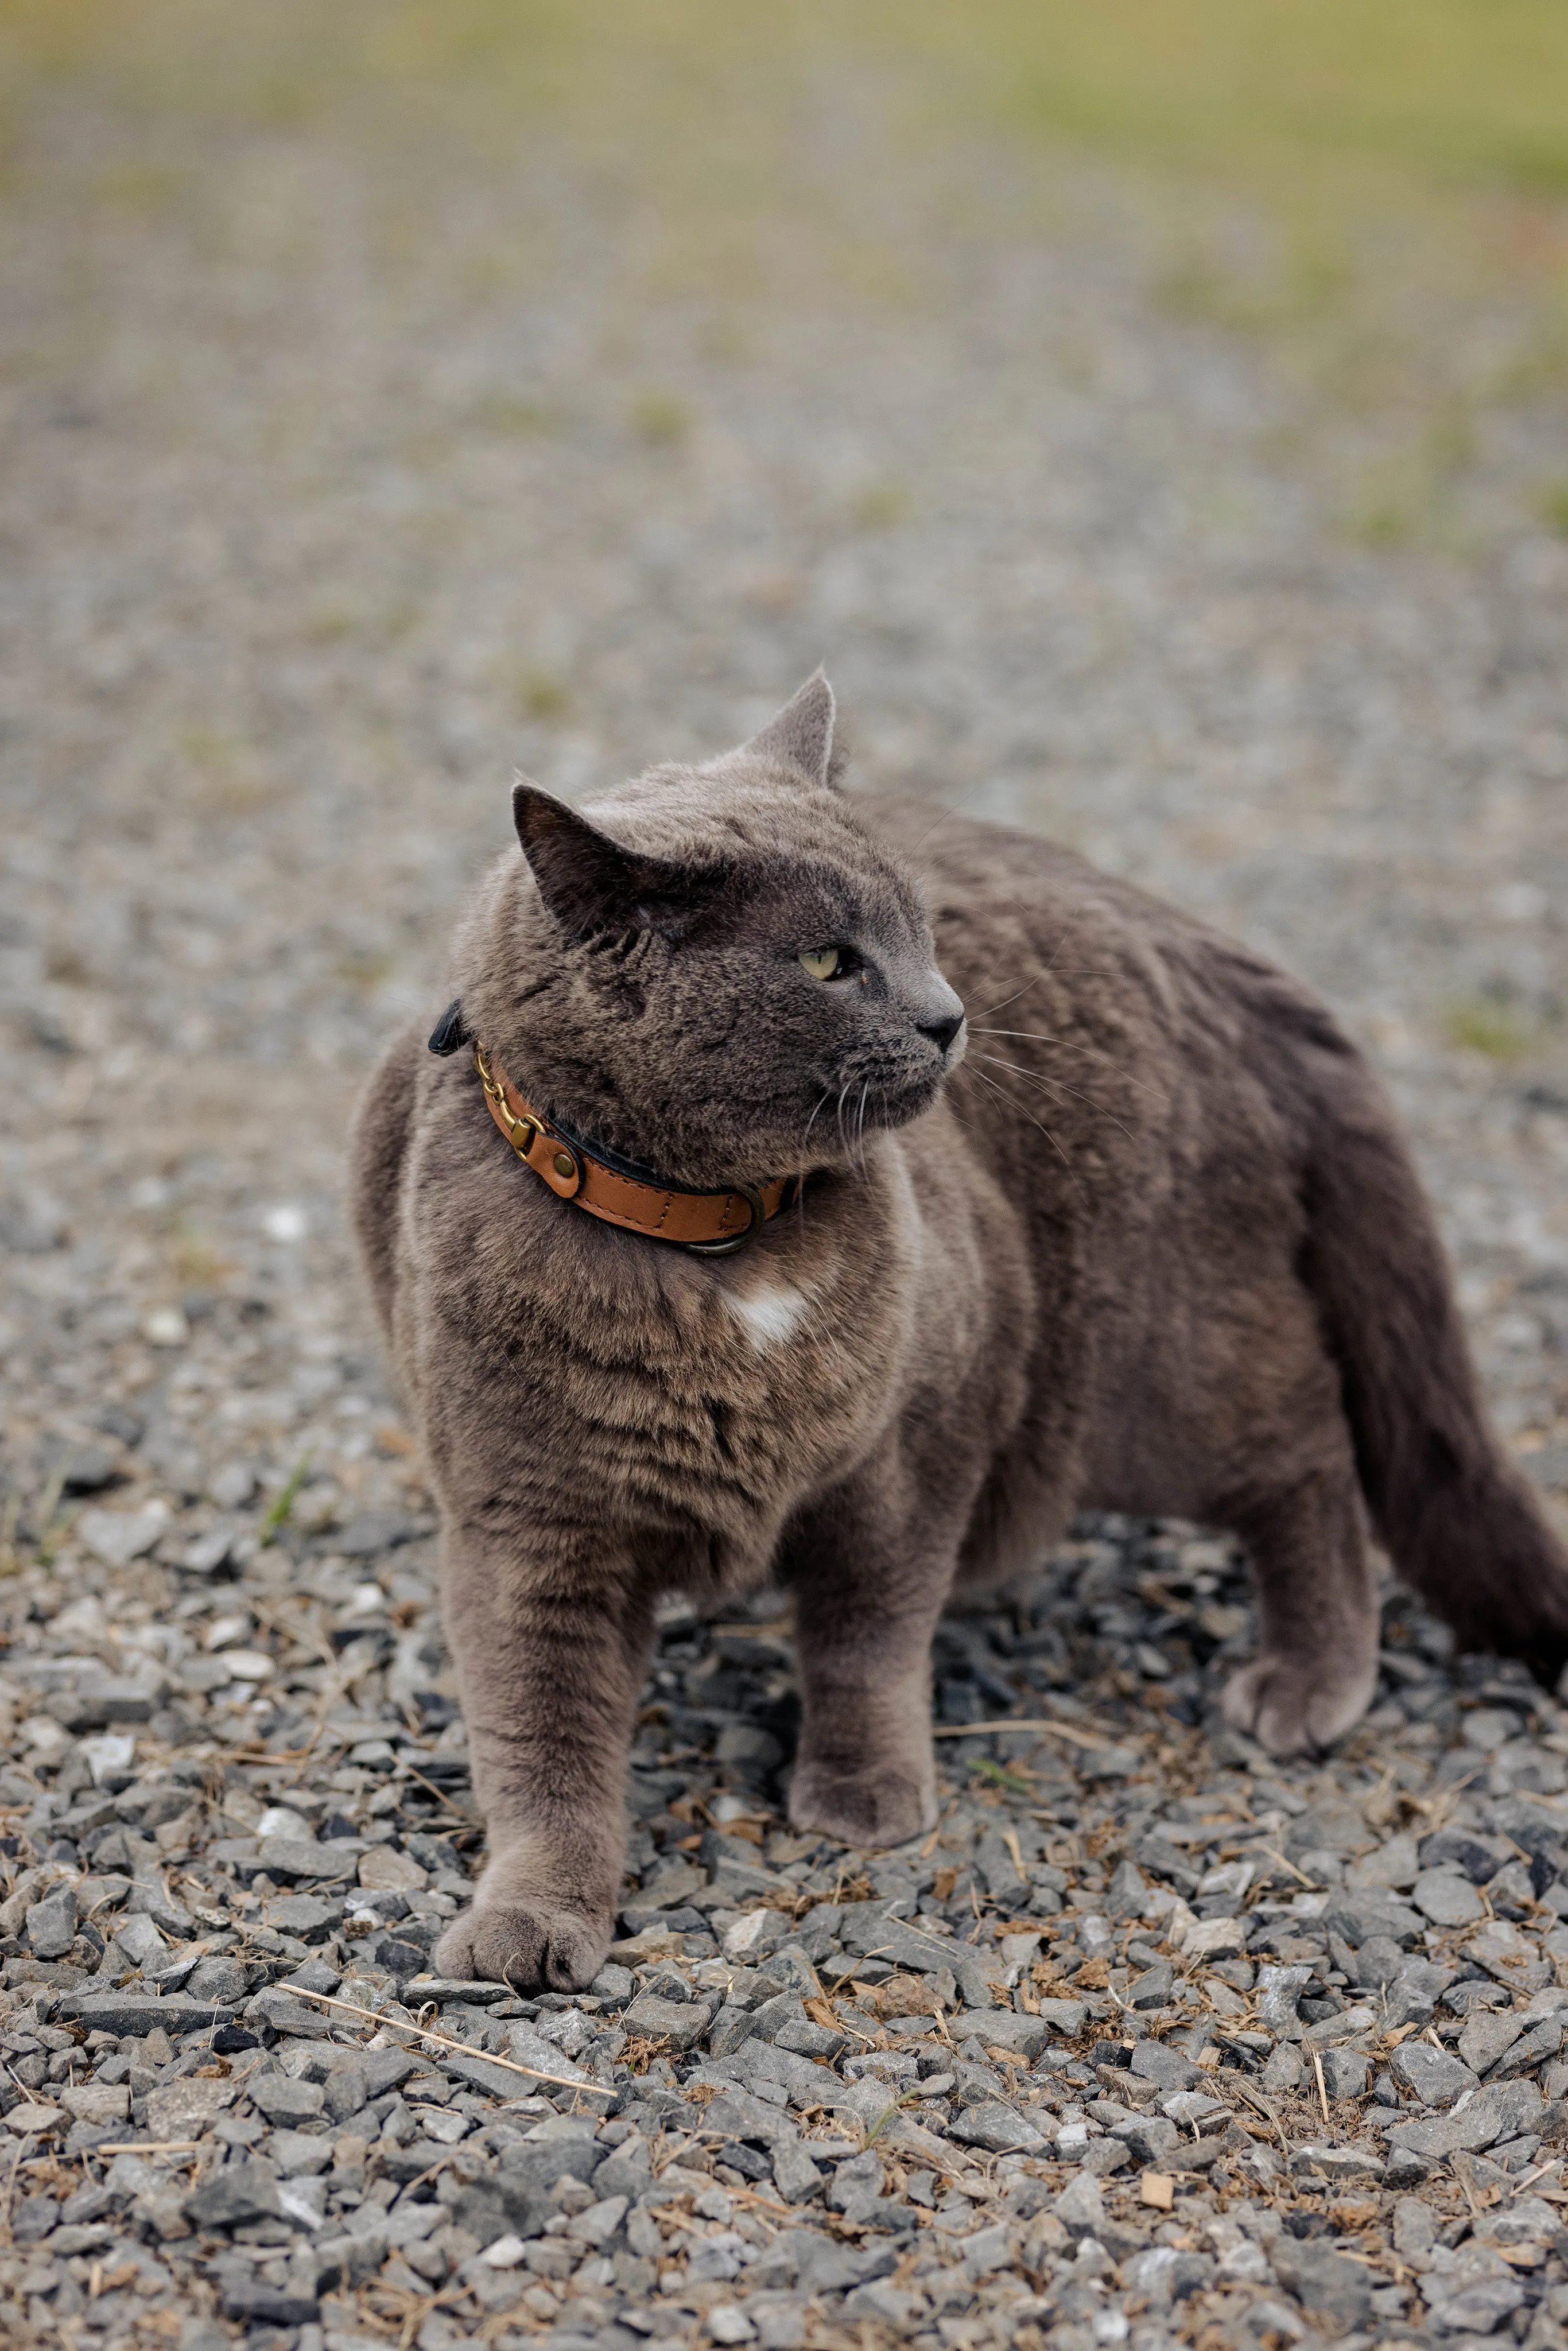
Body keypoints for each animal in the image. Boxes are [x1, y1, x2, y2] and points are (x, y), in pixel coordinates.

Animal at [350, 672, 1568, 1993]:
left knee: (1309, 1445)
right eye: (828, 961)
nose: (948, 1014)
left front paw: (863, 1795)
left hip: (1150, 1366)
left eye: (920, 934)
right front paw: (528, 1918)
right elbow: (542, 1737)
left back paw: (1309, 1678)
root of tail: (1225, 956)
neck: (718, 1245)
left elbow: (868, 1636)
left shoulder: (909, 1452)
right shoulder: (525, 1520)